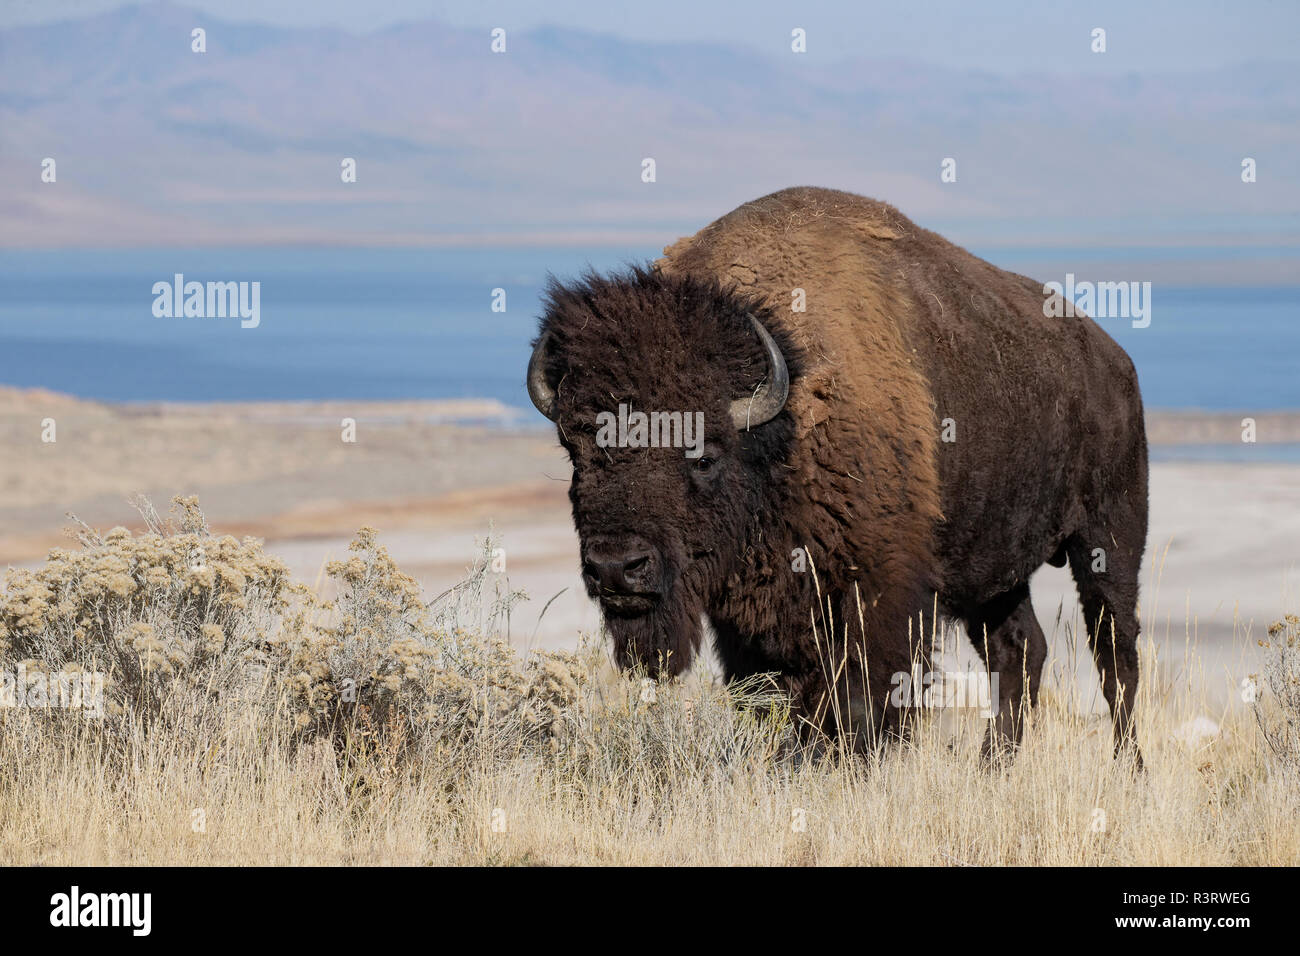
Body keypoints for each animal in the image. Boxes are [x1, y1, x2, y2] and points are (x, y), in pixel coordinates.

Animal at [527, 187, 1149, 764]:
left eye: (704, 455)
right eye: (575, 450)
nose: (616, 568)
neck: (782, 435)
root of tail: (1116, 361)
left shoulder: (878, 595)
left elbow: (859, 704)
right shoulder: (750, 621)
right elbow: (772, 701)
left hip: (1108, 538)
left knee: (1115, 655)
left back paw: (1128, 770)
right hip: (992, 568)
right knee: (1020, 649)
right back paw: (991, 769)